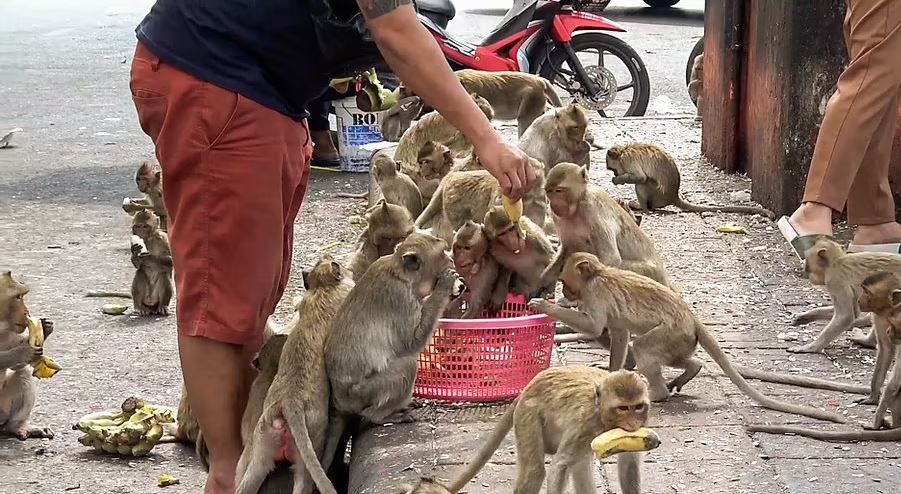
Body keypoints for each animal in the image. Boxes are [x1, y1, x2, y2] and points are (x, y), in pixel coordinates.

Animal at [0, 272, 53, 442]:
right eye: (17, 297)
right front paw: (24, 351)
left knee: (24, 374)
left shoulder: (9, 332)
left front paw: (44, 328)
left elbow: (18, 366)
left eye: (22, 296)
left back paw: (16, 427)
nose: (27, 312)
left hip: (4, 411)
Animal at [234, 256, 354, 494]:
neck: (322, 289)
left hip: (263, 438)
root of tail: (287, 403)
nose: (348, 268)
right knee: (304, 476)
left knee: (253, 474)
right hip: (310, 439)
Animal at [532, 253, 848, 422]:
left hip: (673, 333)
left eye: (565, 281)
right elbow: (619, 334)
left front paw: (546, 307)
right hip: (681, 340)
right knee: (672, 355)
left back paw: (658, 394)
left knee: (644, 346)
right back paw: (691, 369)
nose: (565, 292)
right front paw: (613, 371)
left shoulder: (595, 294)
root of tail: (691, 317)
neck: (597, 275)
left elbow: (596, 327)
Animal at [604, 143, 780, 220]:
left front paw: (618, 180)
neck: (624, 151)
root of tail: (673, 196)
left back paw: (645, 209)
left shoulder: (628, 159)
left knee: (642, 183)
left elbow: (640, 178)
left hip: (657, 193)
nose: (615, 173)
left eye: (612, 169)